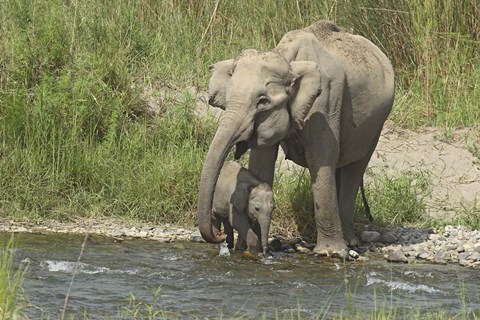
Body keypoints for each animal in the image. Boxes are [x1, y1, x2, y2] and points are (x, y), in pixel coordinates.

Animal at [196, 20, 394, 258]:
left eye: (262, 102)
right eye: (227, 98)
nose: (218, 236)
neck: (286, 58)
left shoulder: (326, 103)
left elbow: (321, 161)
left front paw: (330, 253)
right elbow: (261, 164)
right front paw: (254, 249)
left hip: (376, 125)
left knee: (354, 169)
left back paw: (349, 243)